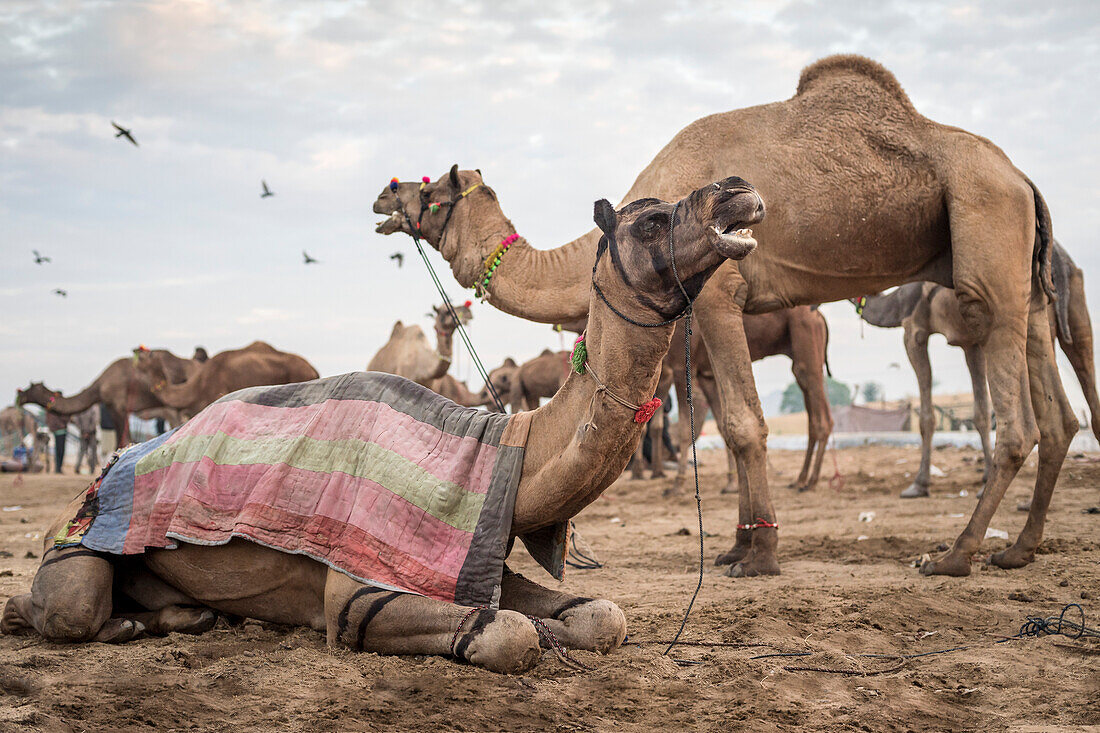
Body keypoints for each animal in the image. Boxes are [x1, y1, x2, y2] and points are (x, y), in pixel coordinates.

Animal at [17, 347, 207, 444]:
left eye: (29, 388)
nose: (19, 398)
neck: (100, 384)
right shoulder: (117, 408)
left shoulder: (117, 406)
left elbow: (122, 439)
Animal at [862, 239, 1095, 497]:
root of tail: (1061, 263)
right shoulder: (970, 344)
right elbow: (981, 412)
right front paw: (984, 478)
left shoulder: (914, 330)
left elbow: (927, 416)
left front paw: (919, 484)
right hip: (1074, 309)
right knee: (1086, 373)